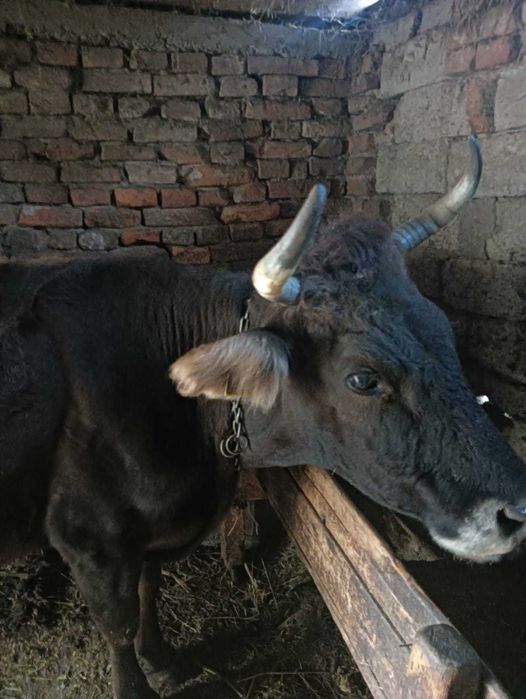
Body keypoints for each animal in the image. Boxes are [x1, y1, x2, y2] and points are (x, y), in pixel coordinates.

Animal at [1, 135, 526, 699]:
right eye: (363, 379)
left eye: (443, 329)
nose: (516, 510)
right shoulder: (90, 540)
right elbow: (117, 625)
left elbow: (149, 589)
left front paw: (164, 662)